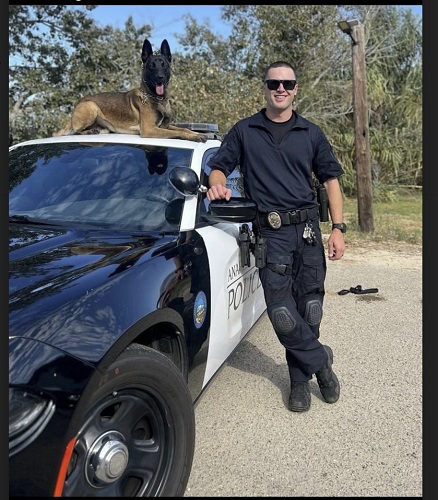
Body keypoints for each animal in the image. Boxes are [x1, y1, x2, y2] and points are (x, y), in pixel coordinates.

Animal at [53, 37, 207, 141]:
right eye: (151, 66)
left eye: (164, 65)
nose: (160, 78)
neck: (156, 98)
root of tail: (78, 104)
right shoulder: (150, 129)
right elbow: (176, 132)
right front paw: (193, 137)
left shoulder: (163, 126)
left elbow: (183, 128)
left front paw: (196, 133)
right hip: (91, 106)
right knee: (76, 131)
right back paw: (88, 132)